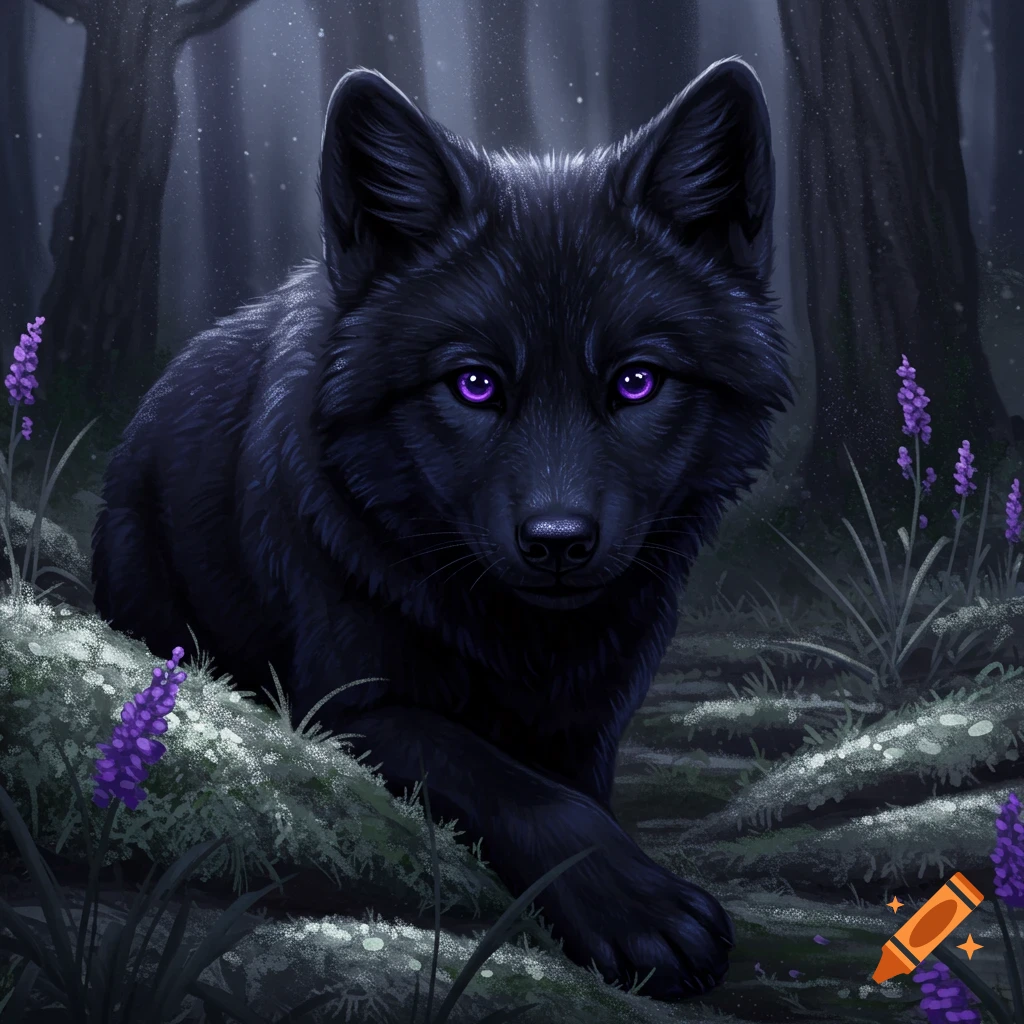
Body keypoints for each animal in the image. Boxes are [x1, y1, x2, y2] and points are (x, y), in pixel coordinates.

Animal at [92, 57, 790, 999]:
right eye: (475, 384)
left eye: (636, 381)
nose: (559, 541)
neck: (527, 643)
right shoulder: (344, 707)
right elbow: (516, 787)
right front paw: (642, 913)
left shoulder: (593, 722)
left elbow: (571, 786)